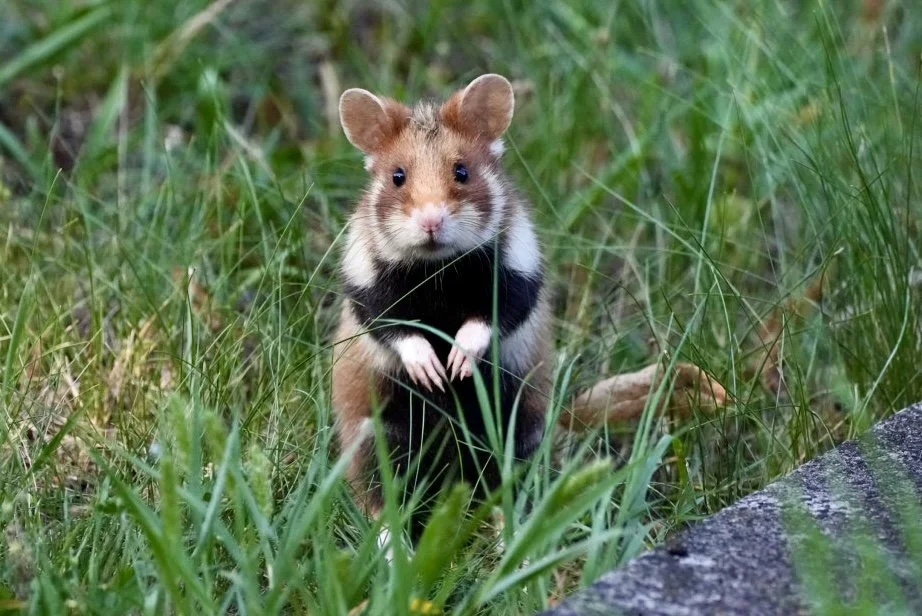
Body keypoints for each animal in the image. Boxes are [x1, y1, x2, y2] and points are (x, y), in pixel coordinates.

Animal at [331, 74, 553, 522]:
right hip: (377, 438)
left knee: (501, 486)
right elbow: (397, 328)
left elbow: (489, 319)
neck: (438, 271)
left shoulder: (518, 276)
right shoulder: (368, 291)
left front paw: (456, 364)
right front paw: (433, 373)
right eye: (398, 176)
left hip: (518, 428)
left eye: (462, 171)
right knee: (382, 497)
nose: (431, 221)